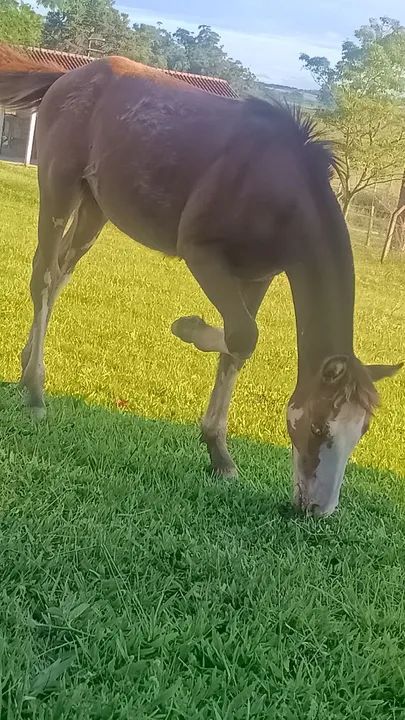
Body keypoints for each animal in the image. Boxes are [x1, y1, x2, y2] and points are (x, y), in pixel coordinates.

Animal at [0, 45, 401, 517]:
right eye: (320, 428)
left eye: (362, 432)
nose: (318, 510)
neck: (276, 188)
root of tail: (68, 77)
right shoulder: (202, 255)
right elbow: (243, 335)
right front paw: (187, 327)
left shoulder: (259, 275)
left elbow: (236, 352)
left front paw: (219, 454)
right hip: (58, 189)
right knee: (43, 276)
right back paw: (34, 390)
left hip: (95, 209)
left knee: (60, 273)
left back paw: (26, 366)